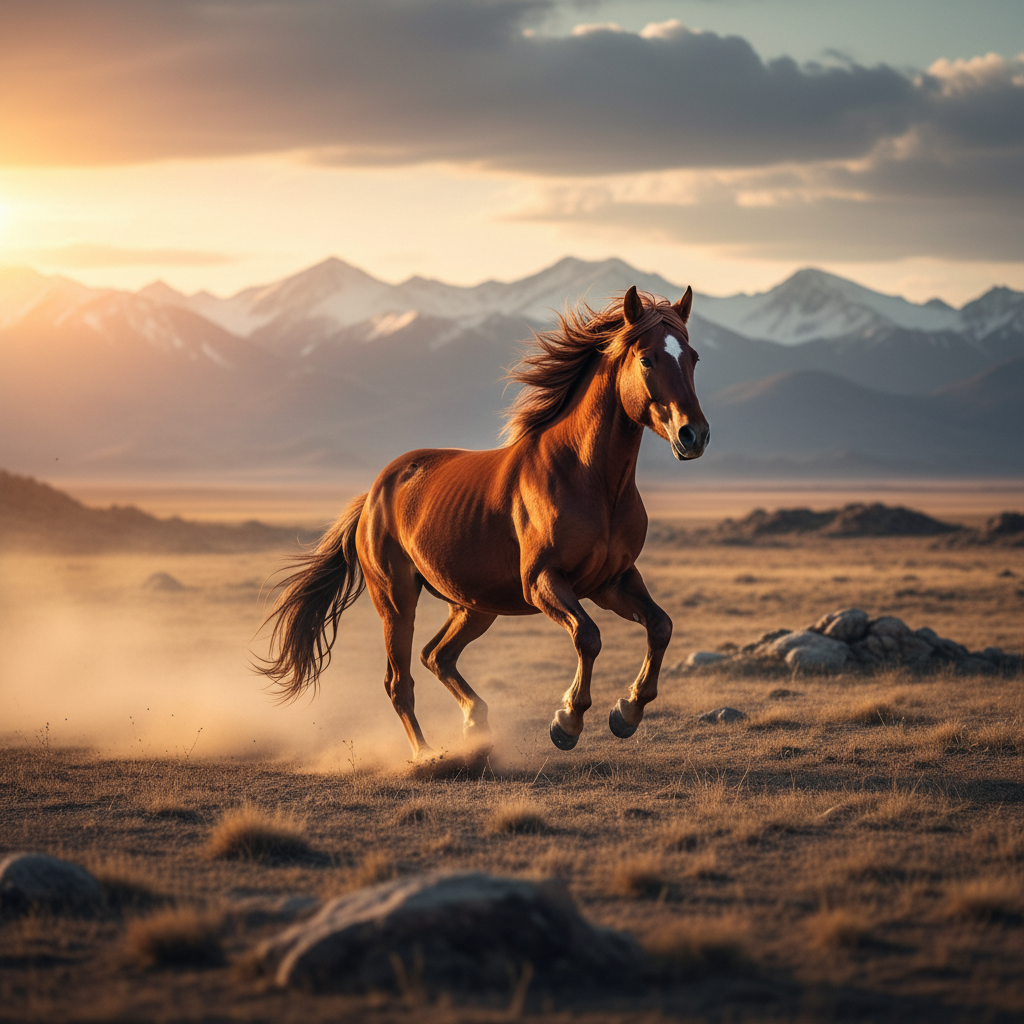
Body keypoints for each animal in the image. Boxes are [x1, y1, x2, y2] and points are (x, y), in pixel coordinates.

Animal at [259, 285, 709, 758]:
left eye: (693, 357)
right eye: (646, 359)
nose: (694, 435)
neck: (590, 480)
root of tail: (373, 496)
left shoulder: (611, 581)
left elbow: (660, 626)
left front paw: (627, 711)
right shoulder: (543, 581)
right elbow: (588, 636)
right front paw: (567, 721)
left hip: (473, 605)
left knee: (436, 656)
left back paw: (476, 723)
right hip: (396, 601)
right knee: (400, 682)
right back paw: (426, 755)